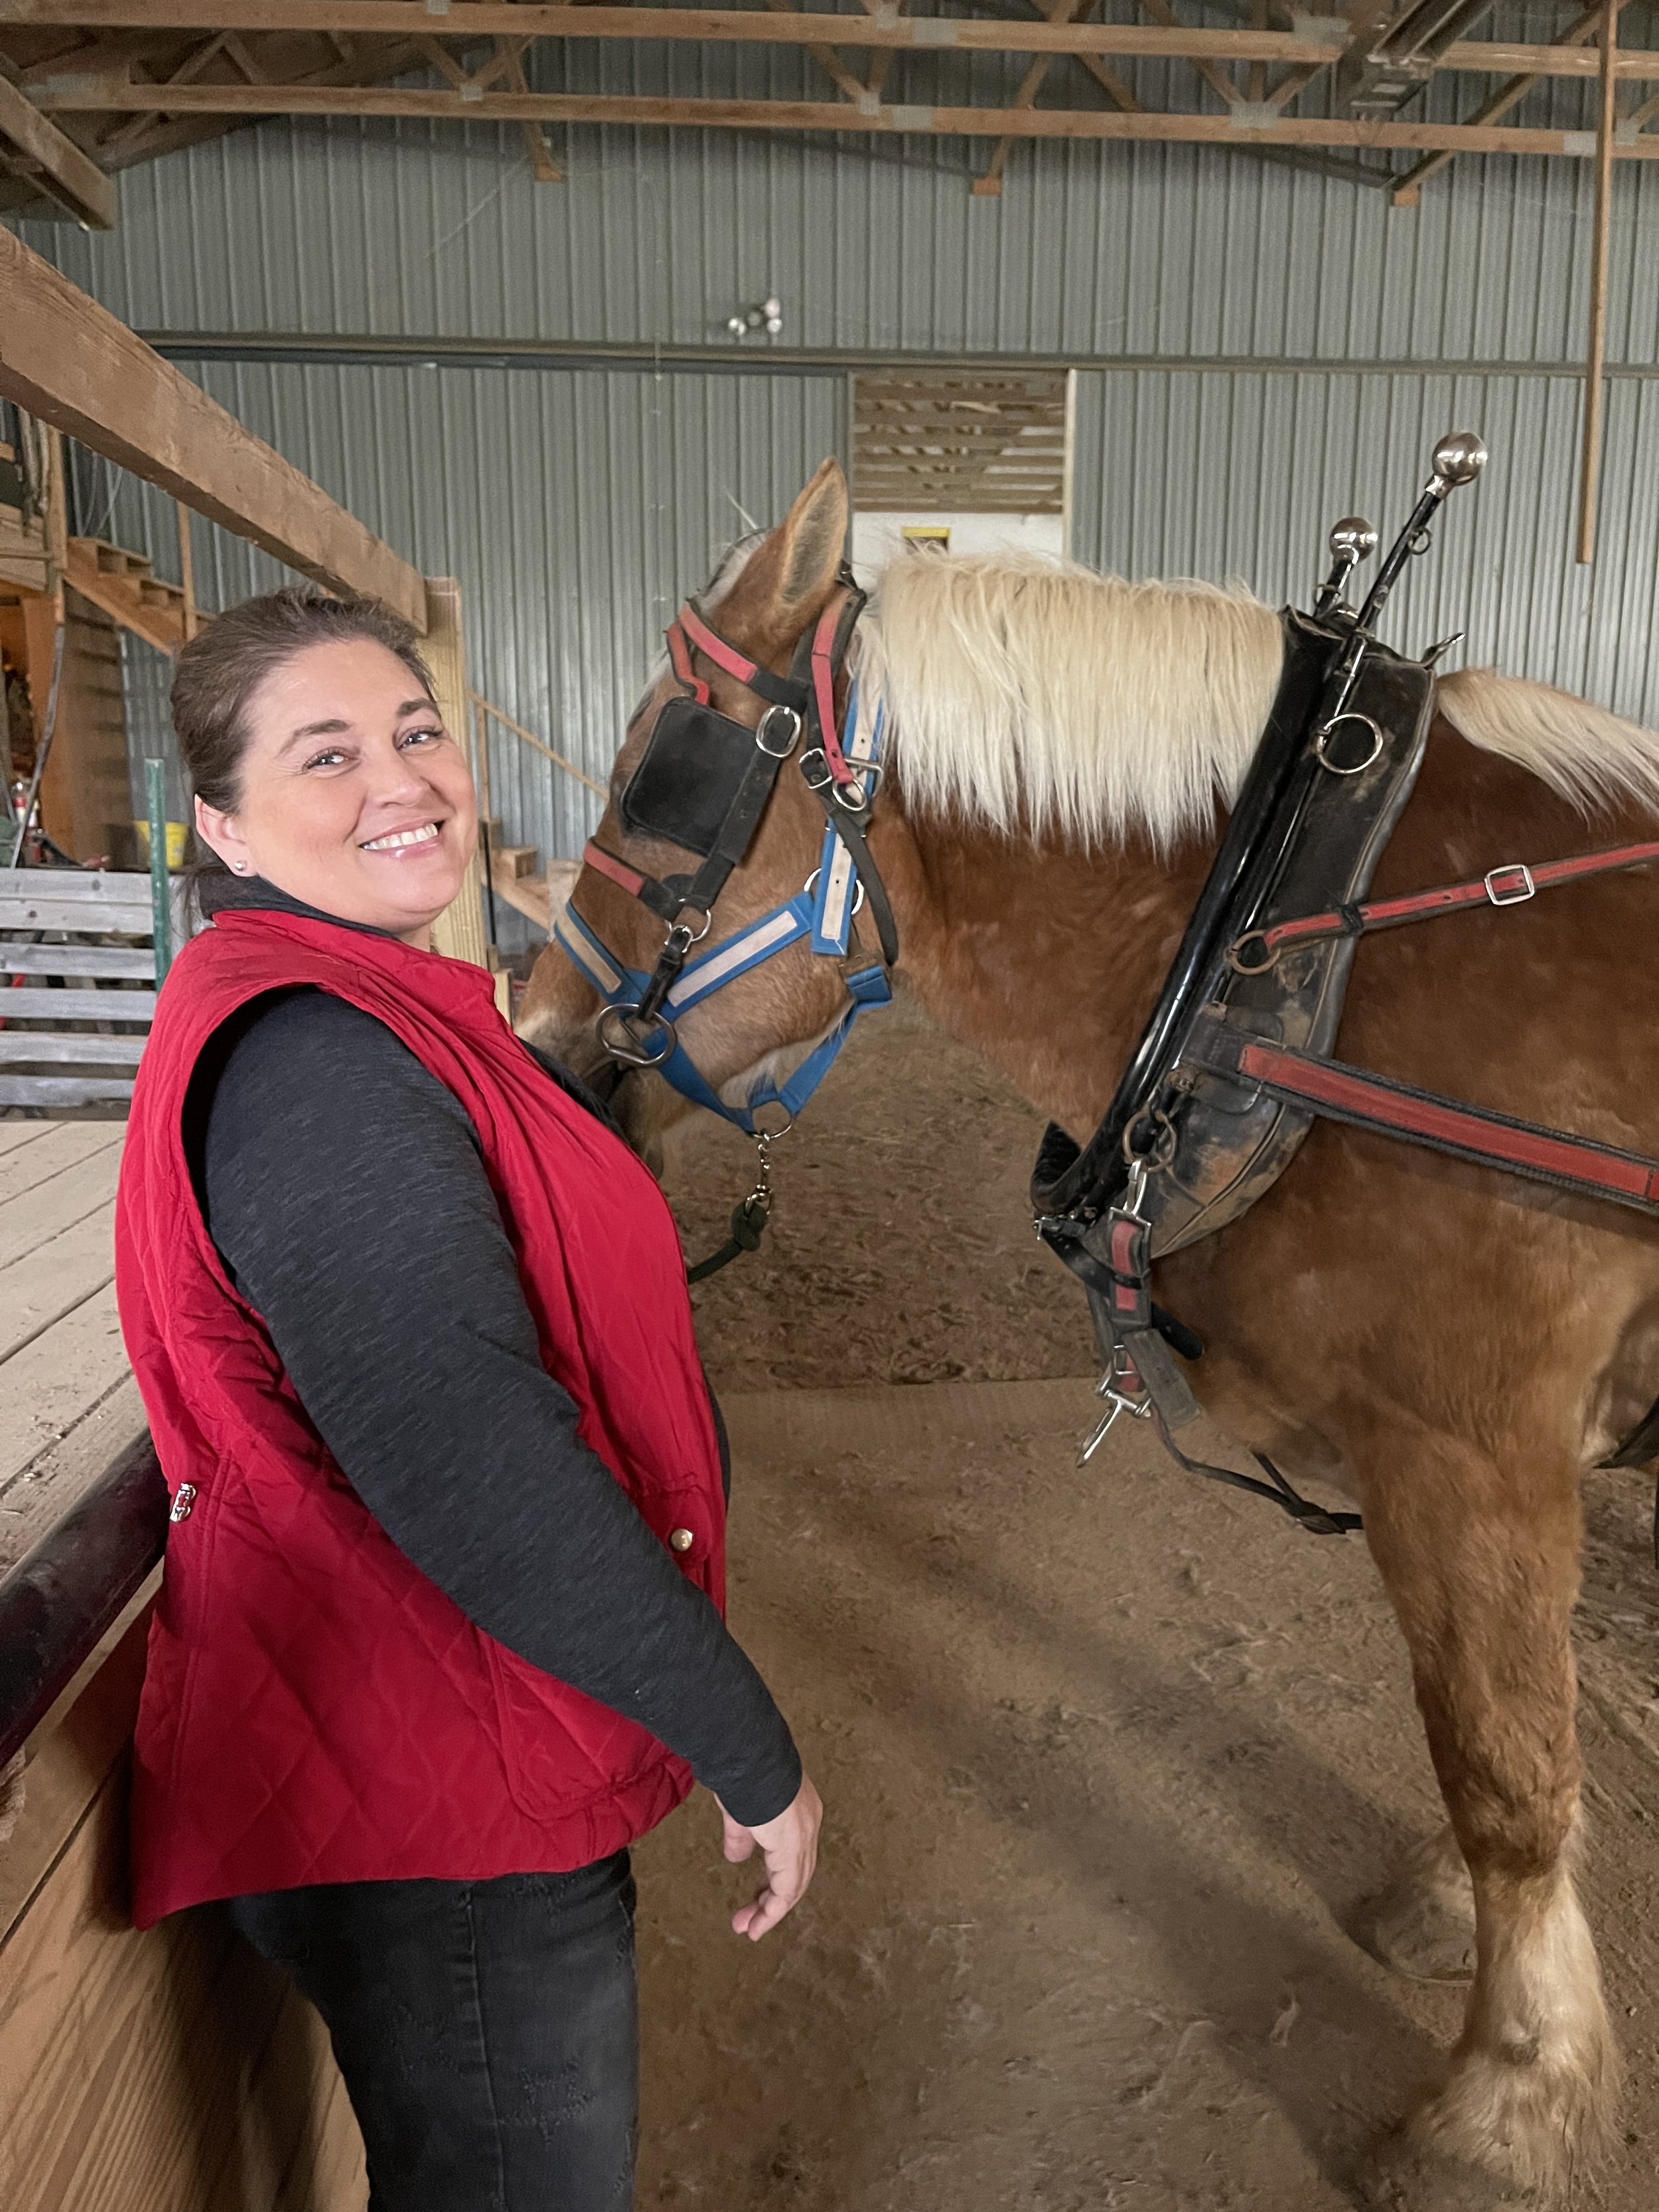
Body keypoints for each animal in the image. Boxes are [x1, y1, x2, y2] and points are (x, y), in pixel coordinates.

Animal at [519, 457, 1659, 2199]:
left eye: (660, 770)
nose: (534, 1035)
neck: (1300, 939)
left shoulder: (1472, 1450)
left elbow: (1507, 1758)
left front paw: (1506, 2097)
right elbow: (1496, 1725)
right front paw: (1458, 1926)